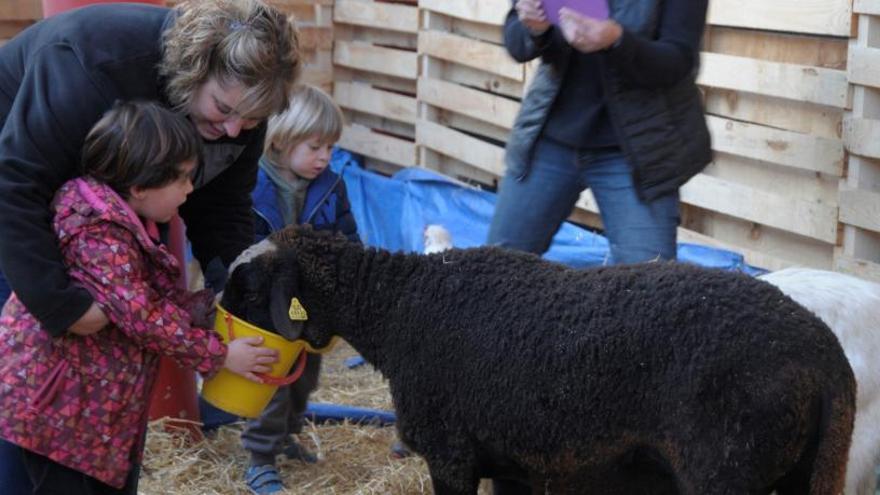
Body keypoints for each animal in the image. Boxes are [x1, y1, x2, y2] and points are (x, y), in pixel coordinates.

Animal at [223, 227, 856, 494]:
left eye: (247, 291)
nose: (220, 342)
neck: (400, 307)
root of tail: (826, 357)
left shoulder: (451, 456)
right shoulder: (511, 463)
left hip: (726, 472)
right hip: (805, 474)